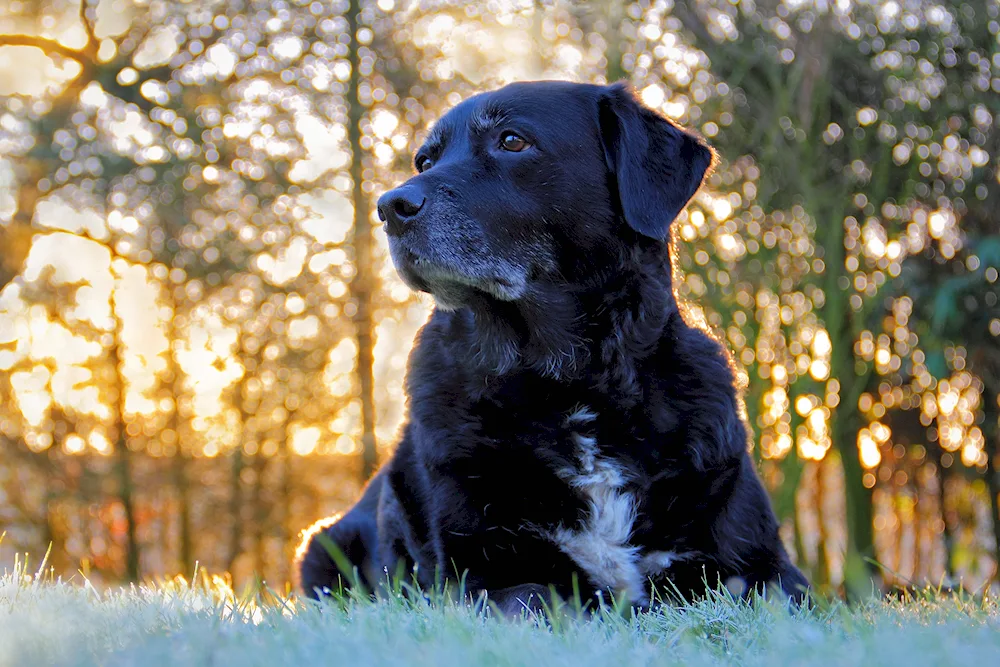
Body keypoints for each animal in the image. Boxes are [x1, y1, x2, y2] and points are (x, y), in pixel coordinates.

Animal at [292, 79, 808, 616]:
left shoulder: (767, 568)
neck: (569, 384)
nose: (390, 207)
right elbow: (538, 599)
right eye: (424, 161)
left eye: (512, 141)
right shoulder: (474, 579)